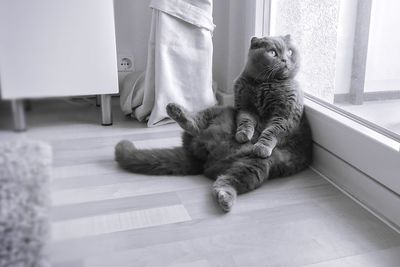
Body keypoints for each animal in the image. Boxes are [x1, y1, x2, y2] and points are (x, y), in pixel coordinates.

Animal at [115, 35, 312, 213]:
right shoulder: (244, 107)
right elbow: (246, 121)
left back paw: (225, 198)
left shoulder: (285, 115)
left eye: (290, 51)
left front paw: (261, 145)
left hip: (257, 165)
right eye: (272, 52)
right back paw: (175, 111)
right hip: (220, 110)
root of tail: (205, 159)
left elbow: (272, 130)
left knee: (226, 180)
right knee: (195, 125)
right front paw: (244, 135)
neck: (264, 84)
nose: (285, 59)